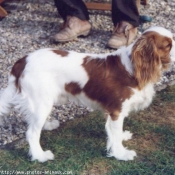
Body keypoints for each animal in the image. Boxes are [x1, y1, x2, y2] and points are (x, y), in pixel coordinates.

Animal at [0, 26, 175, 163]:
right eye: (168, 45)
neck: (133, 66)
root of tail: (21, 62)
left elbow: (114, 132)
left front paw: (121, 137)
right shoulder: (116, 110)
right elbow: (115, 133)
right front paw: (121, 153)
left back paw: (47, 125)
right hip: (41, 101)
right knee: (32, 133)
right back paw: (40, 156)